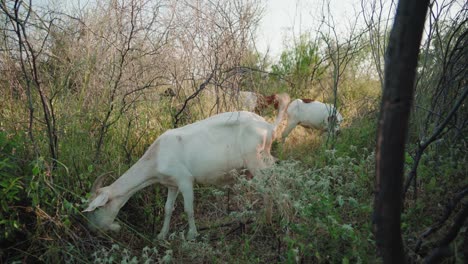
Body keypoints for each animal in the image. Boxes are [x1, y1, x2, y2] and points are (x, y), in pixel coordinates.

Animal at [83, 94, 288, 240]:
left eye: (97, 209)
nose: (92, 230)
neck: (156, 156)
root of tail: (269, 127)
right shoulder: (171, 184)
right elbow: (168, 208)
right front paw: (161, 235)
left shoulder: (185, 180)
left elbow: (188, 209)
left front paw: (192, 235)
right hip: (264, 158)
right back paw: (268, 219)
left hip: (255, 159)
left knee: (272, 185)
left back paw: (277, 220)